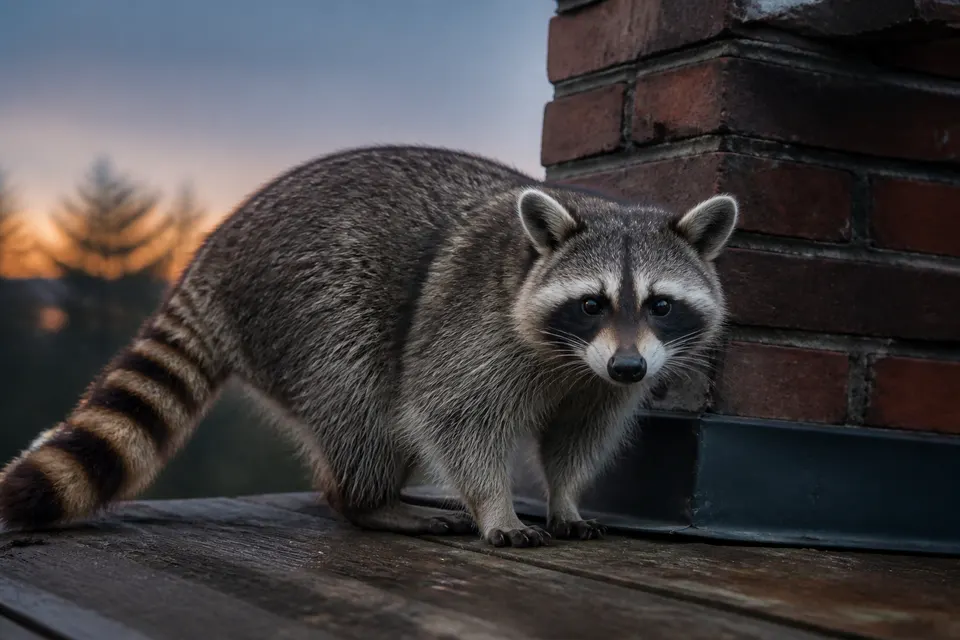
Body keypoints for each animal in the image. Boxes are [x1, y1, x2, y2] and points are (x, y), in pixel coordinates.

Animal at [0, 145, 737, 547]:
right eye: (591, 304)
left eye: (660, 305)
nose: (629, 366)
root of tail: (212, 254)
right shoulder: (472, 325)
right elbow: (453, 416)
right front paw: (494, 504)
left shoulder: (596, 382)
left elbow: (577, 437)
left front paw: (565, 497)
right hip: (313, 300)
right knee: (365, 406)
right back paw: (367, 501)